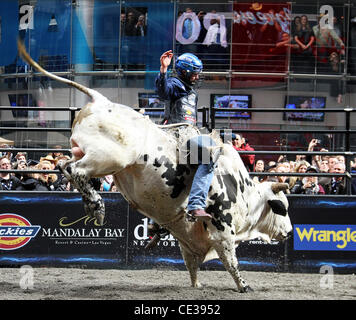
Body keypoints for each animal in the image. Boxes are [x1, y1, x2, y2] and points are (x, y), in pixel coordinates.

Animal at [18, 40, 292, 292]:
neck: (244, 191)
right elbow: (230, 260)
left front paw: (197, 285)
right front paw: (244, 286)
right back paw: (97, 206)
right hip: (109, 157)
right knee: (75, 170)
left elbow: (191, 263)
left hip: (87, 154)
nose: (290, 233)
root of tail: (101, 101)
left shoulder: (188, 236)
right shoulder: (222, 228)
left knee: (65, 165)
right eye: (283, 208)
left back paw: (91, 203)